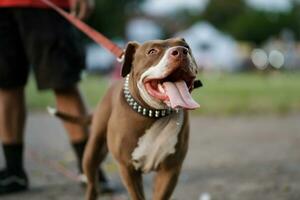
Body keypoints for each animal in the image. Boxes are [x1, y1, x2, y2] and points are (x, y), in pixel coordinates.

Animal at [50, 37, 203, 198]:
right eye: (152, 51)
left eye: (187, 47)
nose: (180, 51)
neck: (154, 114)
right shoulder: (128, 168)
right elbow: (137, 196)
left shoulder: (170, 170)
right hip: (92, 152)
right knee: (92, 184)